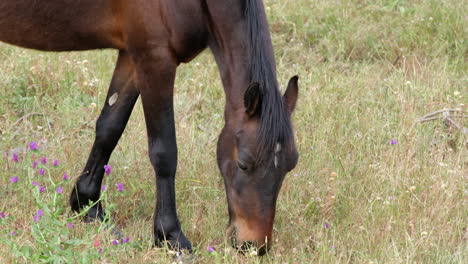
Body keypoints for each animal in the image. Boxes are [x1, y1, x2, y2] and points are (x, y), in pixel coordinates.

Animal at [0, 0, 300, 256]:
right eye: (243, 164)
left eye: (290, 165)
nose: (253, 245)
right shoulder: (155, 59)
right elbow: (164, 152)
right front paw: (170, 235)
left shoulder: (132, 56)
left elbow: (109, 128)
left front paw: (87, 205)